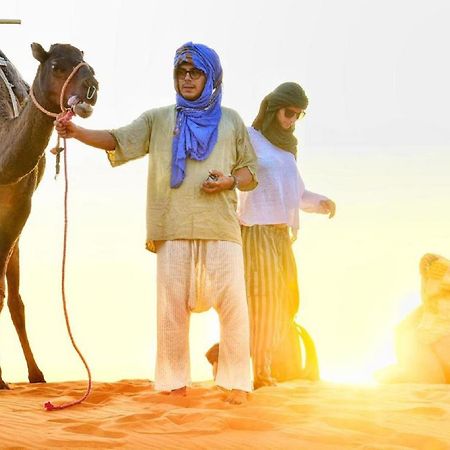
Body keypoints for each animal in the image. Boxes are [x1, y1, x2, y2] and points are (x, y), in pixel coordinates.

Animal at [0, 43, 98, 390]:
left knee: (15, 298)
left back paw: (36, 374)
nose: (92, 88)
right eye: (57, 66)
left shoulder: (20, 204)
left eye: (86, 63)